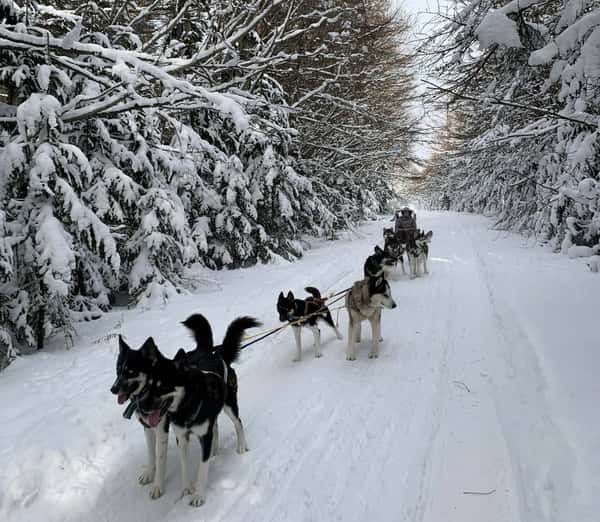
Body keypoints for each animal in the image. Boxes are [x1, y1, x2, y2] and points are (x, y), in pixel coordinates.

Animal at [110, 334, 171, 496]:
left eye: (131, 371)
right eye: (118, 370)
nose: (113, 389)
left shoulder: (161, 431)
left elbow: (160, 459)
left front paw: (158, 486)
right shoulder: (148, 429)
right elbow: (151, 453)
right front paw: (149, 473)